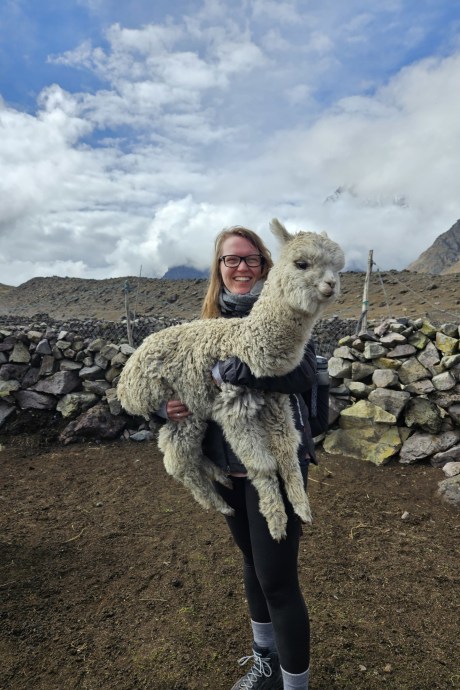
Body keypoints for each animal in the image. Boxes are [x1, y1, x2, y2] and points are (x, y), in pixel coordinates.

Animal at [117, 219, 345, 540]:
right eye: (302, 263)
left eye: (337, 267)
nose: (331, 285)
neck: (247, 346)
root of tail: (124, 379)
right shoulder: (235, 408)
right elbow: (261, 466)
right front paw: (276, 522)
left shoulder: (275, 402)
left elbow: (287, 452)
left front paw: (301, 507)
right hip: (175, 404)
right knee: (177, 461)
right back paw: (221, 504)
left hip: (193, 409)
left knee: (186, 453)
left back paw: (221, 479)